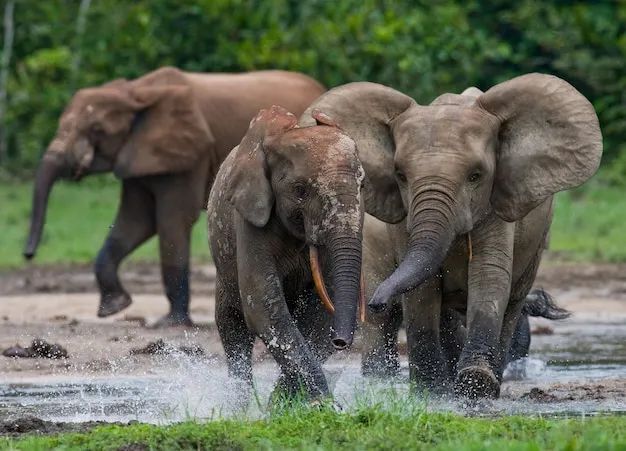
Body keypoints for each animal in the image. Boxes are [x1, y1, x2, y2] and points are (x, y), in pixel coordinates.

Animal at [23, 66, 326, 328]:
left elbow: (171, 221)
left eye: (97, 131)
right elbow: (135, 221)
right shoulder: (140, 153)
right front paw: (115, 307)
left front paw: (169, 324)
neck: (135, 92)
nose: (28, 254)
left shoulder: (189, 154)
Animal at [207, 105, 366, 402]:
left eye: (363, 186)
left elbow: (319, 316)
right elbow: (264, 308)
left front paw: (287, 404)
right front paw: (316, 403)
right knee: (233, 332)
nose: (341, 343)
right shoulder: (249, 218)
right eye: (300, 190)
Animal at [300, 74, 604, 400]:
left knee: (511, 303)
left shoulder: (495, 204)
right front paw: (430, 391)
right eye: (400, 175)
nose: (376, 301)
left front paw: (475, 385)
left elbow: (489, 276)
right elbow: (422, 290)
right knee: (386, 322)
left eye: (476, 176)